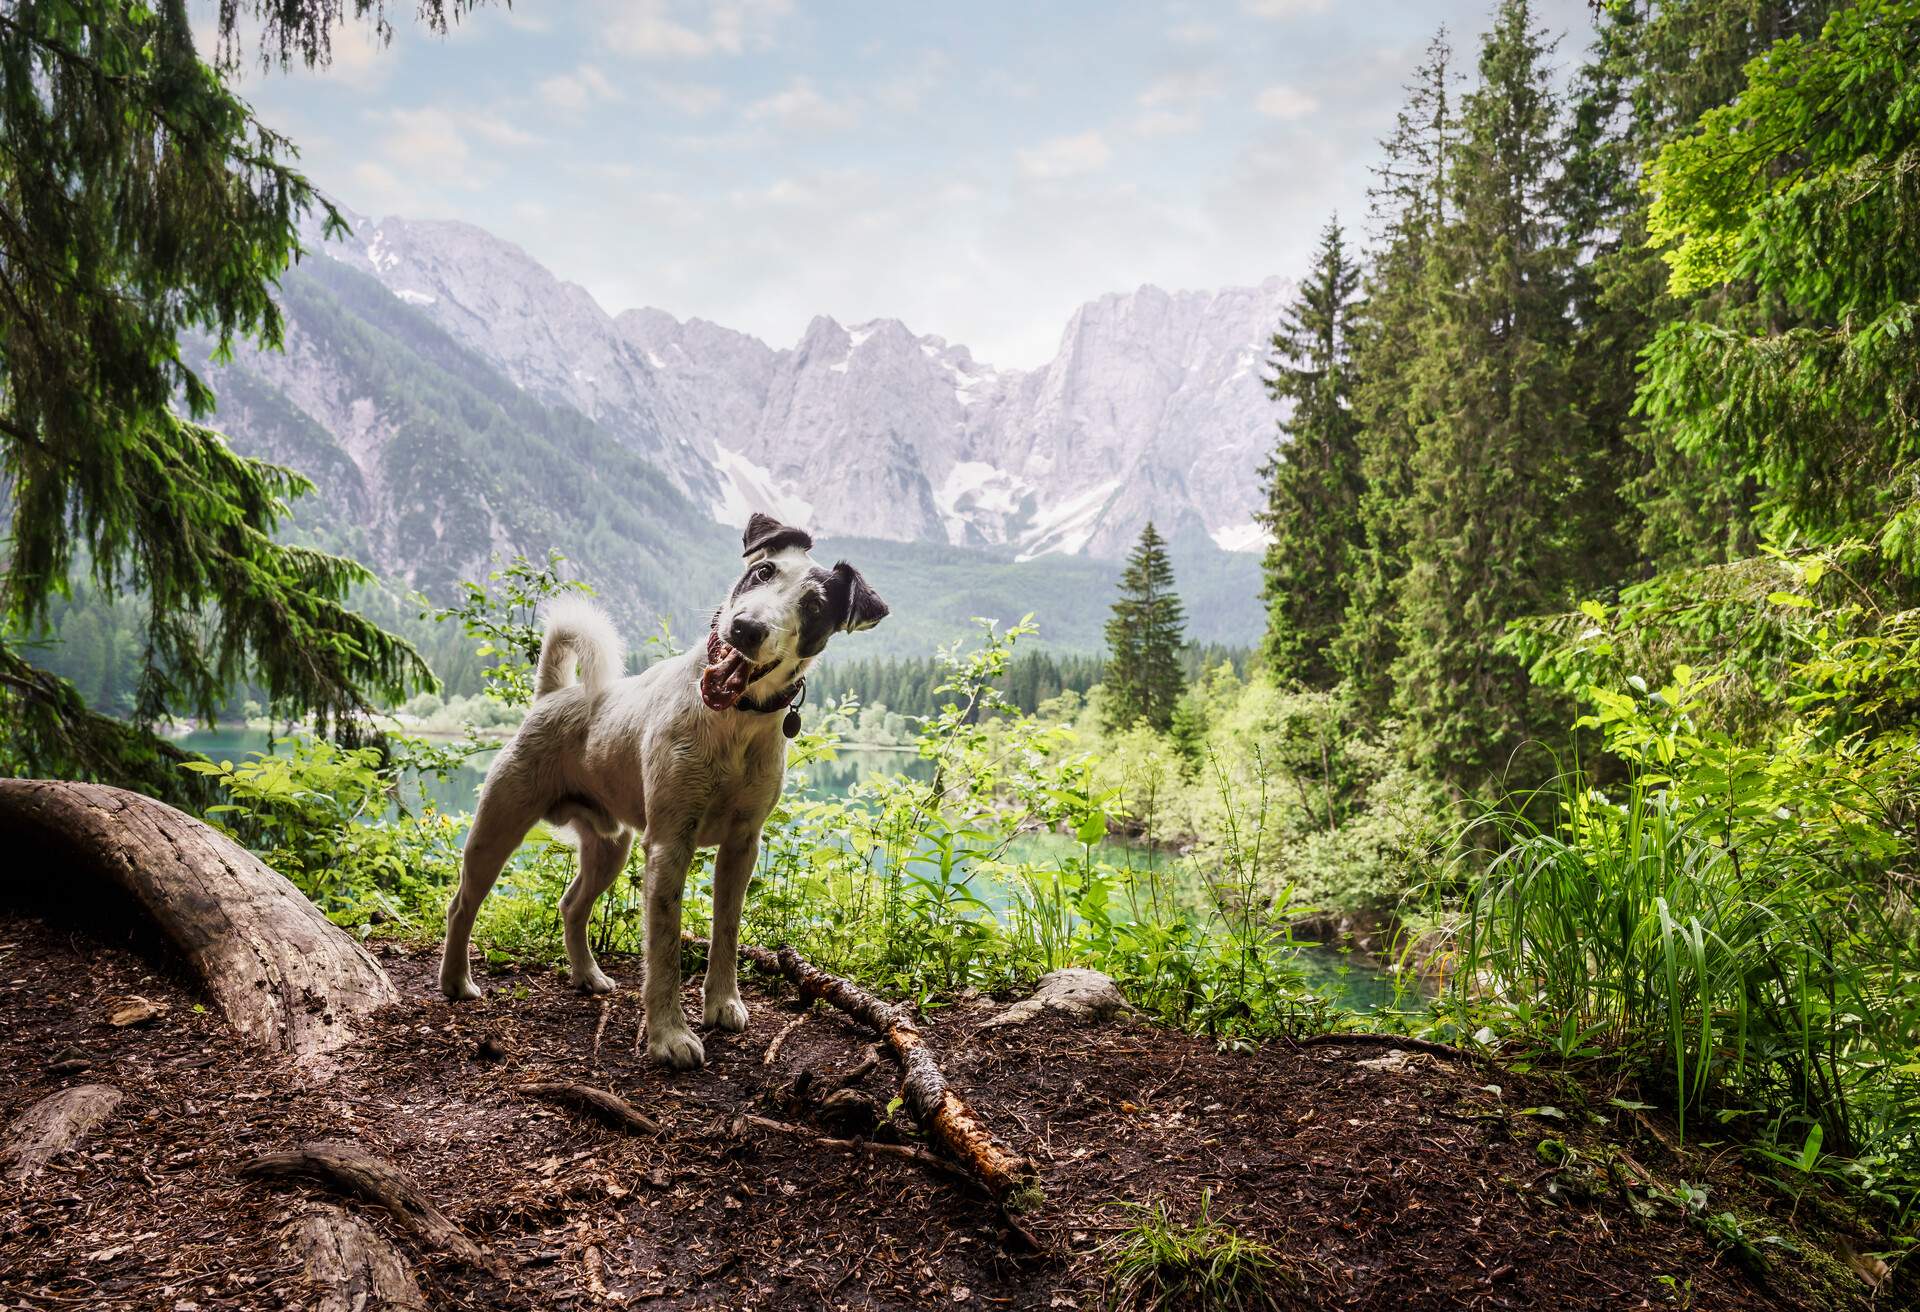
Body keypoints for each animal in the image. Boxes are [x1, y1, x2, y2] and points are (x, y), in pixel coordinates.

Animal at [439, 514, 887, 1068]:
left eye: (815, 606)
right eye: (763, 572)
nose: (746, 628)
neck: (734, 723)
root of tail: (552, 695)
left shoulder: (742, 845)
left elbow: (726, 930)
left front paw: (722, 1003)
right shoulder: (670, 844)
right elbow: (666, 947)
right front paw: (669, 1035)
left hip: (610, 846)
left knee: (571, 905)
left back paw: (588, 976)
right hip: (497, 826)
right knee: (462, 905)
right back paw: (456, 981)